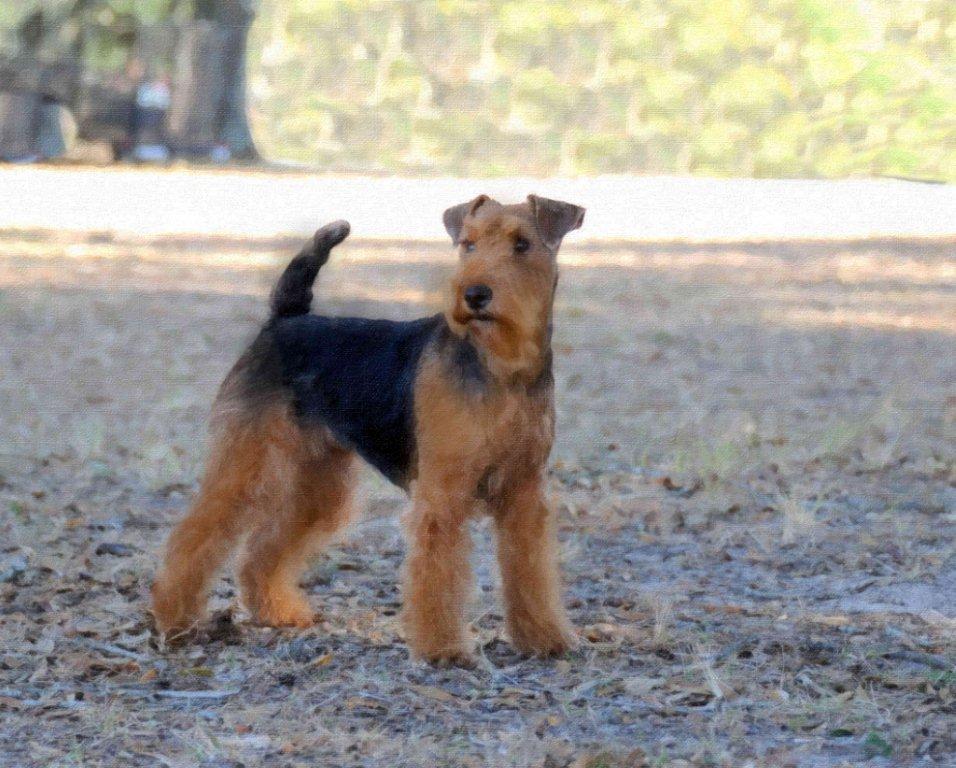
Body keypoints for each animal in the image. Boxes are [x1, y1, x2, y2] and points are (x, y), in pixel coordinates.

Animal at [151, 194, 584, 664]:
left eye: (522, 244)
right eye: (468, 244)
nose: (474, 295)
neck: (503, 369)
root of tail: (284, 319)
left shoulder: (524, 492)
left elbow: (530, 571)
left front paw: (544, 638)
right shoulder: (442, 495)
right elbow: (438, 576)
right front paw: (443, 649)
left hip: (319, 482)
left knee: (261, 551)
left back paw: (277, 612)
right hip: (246, 459)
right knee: (195, 536)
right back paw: (175, 622)